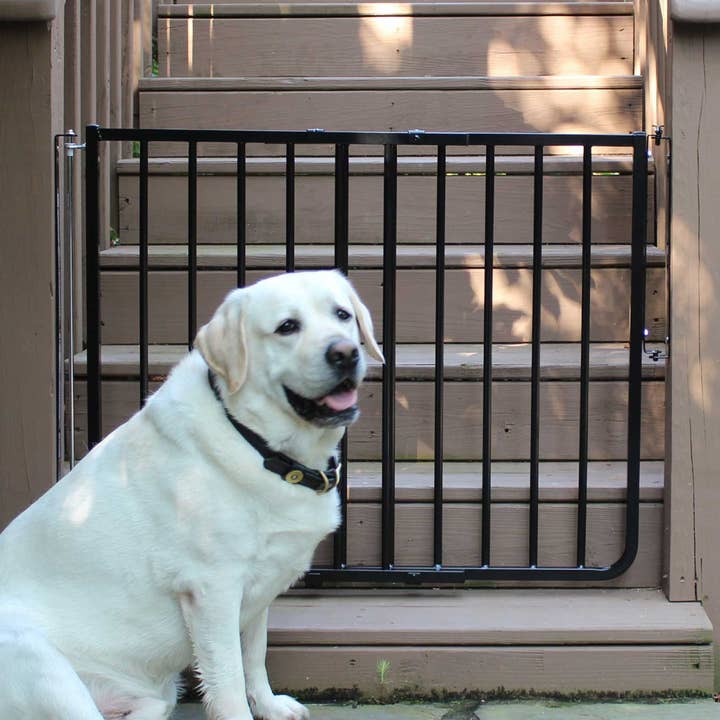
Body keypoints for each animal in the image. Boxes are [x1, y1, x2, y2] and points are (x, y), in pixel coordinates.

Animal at [0, 270, 383, 720]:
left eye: (342, 315)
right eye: (287, 326)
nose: (344, 353)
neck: (261, 446)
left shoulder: (260, 586)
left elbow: (255, 654)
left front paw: (270, 705)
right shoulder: (212, 590)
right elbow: (229, 677)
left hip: (154, 697)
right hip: (36, 656)